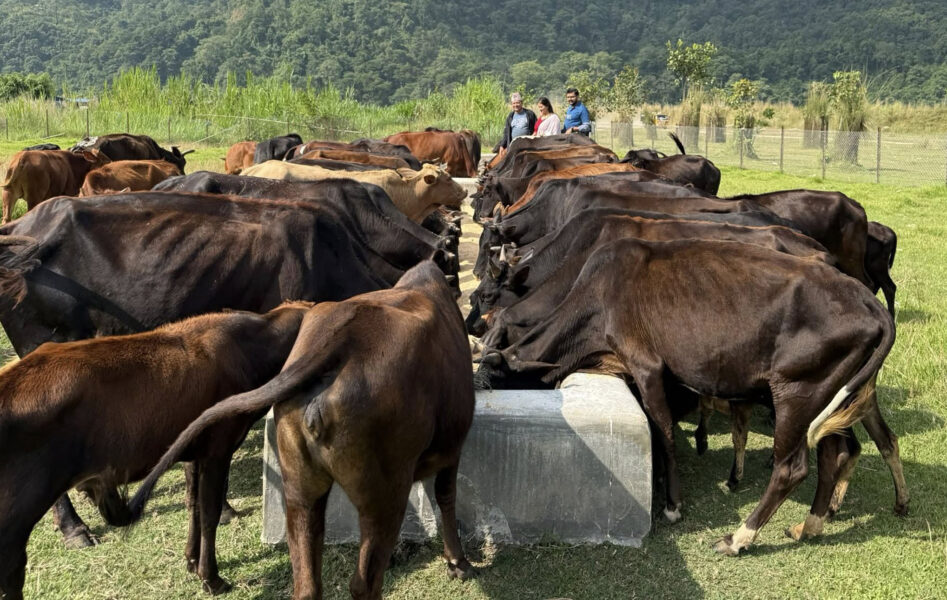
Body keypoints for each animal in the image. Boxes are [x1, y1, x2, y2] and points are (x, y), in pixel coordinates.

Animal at [0, 302, 312, 599]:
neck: (249, 350)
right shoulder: (218, 450)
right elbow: (210, 513)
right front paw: (211, 578)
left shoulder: (194, 452)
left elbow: (193, 505)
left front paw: (191, 561)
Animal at [124, 262, 476, 599]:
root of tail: (341, 338)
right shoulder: (454, 447)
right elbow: (446, 496)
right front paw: (457, 561)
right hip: (385, 495)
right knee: (364, 584)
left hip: (298, 488)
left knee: (306, 585)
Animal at [477, 237, 905, 556]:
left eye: (493, 376)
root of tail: (869, 302)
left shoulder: (648, 366)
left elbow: (665, 433)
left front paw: (672, 505)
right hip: (832, 398)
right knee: (840, 452)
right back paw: (811, 525)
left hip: (796, 392)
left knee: (793, 467)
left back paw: (739, 538)